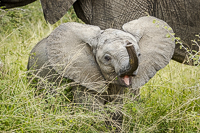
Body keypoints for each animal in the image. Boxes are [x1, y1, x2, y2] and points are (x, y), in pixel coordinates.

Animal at [27, 15, 174, 131]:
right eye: (107, 58)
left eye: (139, 55)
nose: (128, 44)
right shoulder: (83, 75)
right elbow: (93, 109)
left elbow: (119, 109)